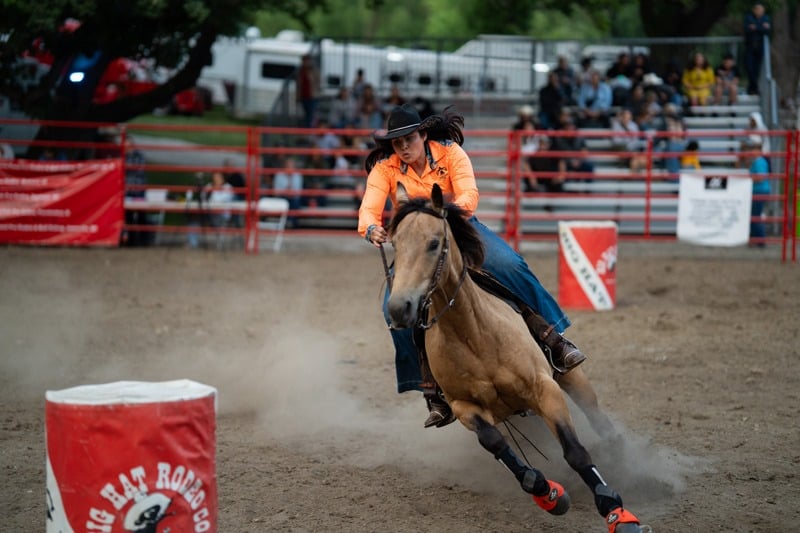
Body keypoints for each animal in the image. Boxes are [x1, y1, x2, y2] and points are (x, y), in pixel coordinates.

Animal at [382, 184, 648, 532]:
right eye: (395, 244)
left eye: (434, 243)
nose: (400, 308)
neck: (474, 334)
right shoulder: (465, 408)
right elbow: (497, 445)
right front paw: (548, 494)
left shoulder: (544, 389)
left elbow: (575, 452)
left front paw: (617, 512)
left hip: (570, 375)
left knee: (595, 413)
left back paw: (619, 452)